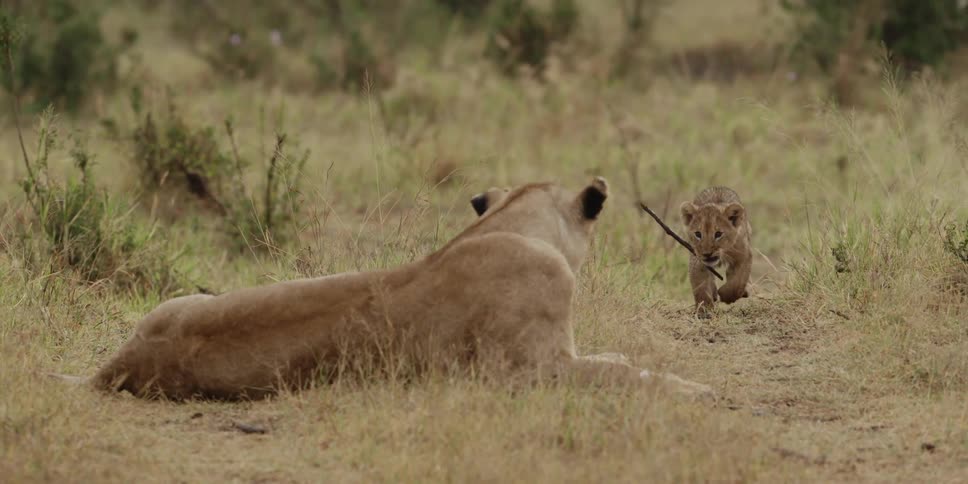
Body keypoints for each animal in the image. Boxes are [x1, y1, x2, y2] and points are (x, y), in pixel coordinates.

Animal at [57, 177, 712, 400]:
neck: (511, 224)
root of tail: (119, 362)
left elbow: (612, 360)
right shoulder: (530, 371)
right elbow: (620, 374)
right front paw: (689, 388)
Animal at [680, 186, 752, 317]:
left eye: (718, 234)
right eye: (698, 234)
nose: (707, 253)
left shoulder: (743, 255)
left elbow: (737, 282)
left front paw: (726, 296)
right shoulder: (697, 260)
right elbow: (700, 286)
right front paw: (704, 311)